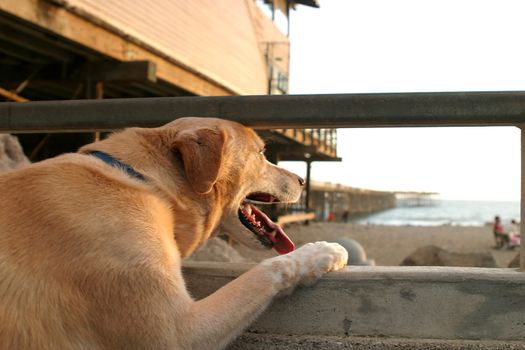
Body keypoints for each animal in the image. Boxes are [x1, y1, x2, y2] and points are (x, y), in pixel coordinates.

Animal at [0, 118, 348, 350]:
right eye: (262, 154)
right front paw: (323, 252)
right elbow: (267, 271)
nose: (302, 181)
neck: (146, 182)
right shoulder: (178, 333)